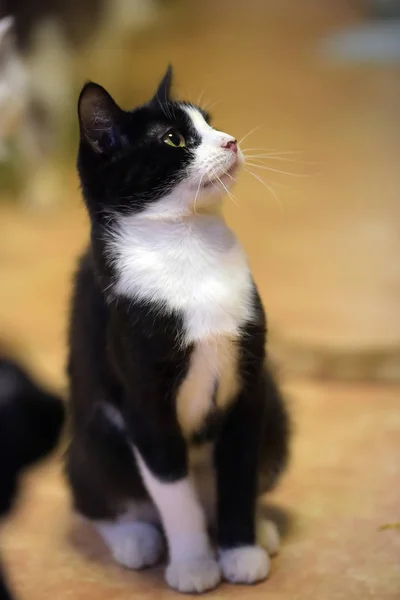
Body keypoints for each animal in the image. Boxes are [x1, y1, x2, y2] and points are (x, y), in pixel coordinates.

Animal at [66, 68, 290, 592]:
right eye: (174, 139)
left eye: (210, 123)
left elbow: (240, 472)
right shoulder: (143, 402)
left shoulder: (250, 388)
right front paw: (193, 564)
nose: (230, 141)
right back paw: (133, 538)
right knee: (93, 495)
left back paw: (261, 527)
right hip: (96, 434)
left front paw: (240, 548)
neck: (191, 250)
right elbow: (172, 490)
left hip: (277, 412)